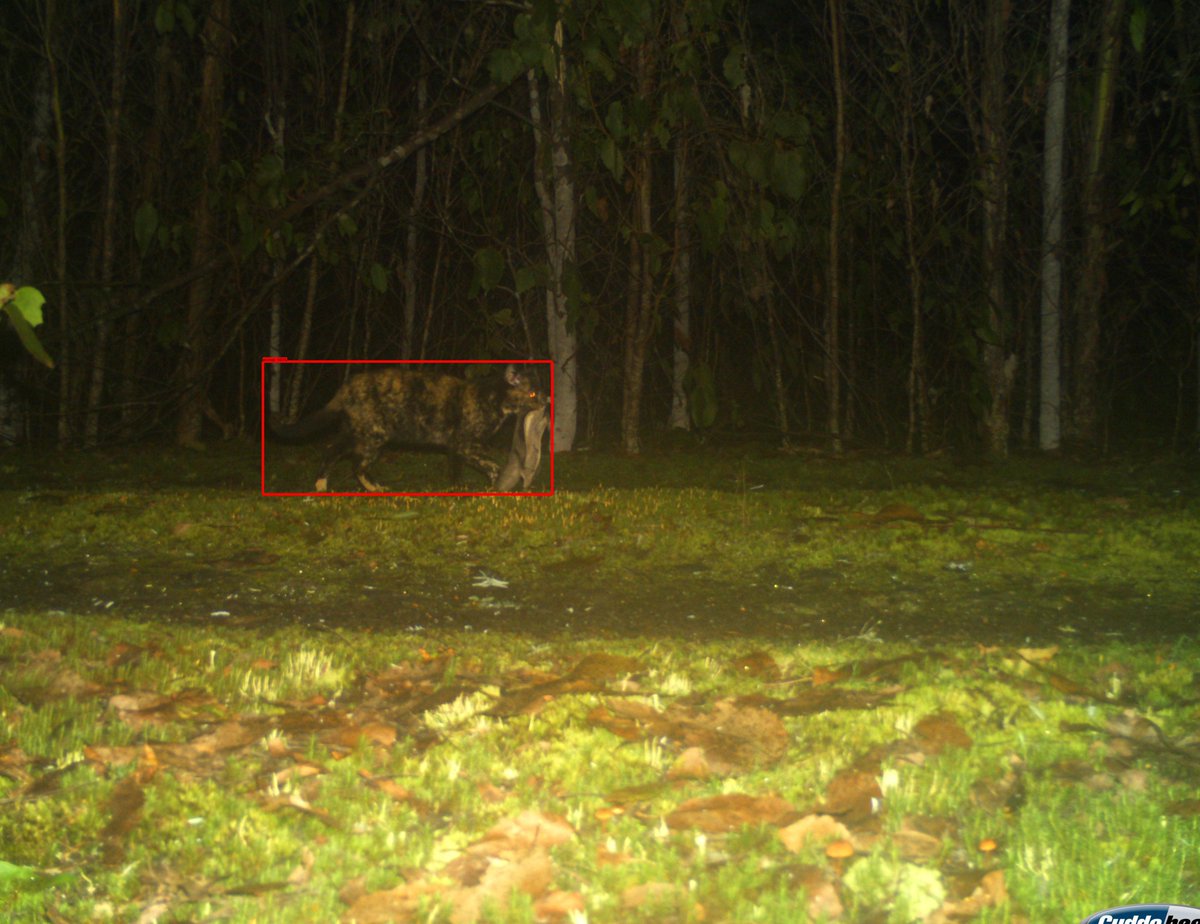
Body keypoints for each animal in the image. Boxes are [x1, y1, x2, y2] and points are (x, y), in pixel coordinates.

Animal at [274, 362, 542, 494]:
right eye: (532, 393)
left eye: (542, 392)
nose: (546, 401)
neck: (492, 398)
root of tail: (347, 386)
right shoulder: (463, 444)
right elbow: (486, 464)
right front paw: (474, 486)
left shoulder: (460, 447)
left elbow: (469, 466)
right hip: (373, 435)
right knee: (356, 464)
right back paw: (372, 488)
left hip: (356, 432)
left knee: (332, 451)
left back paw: (325, 486)